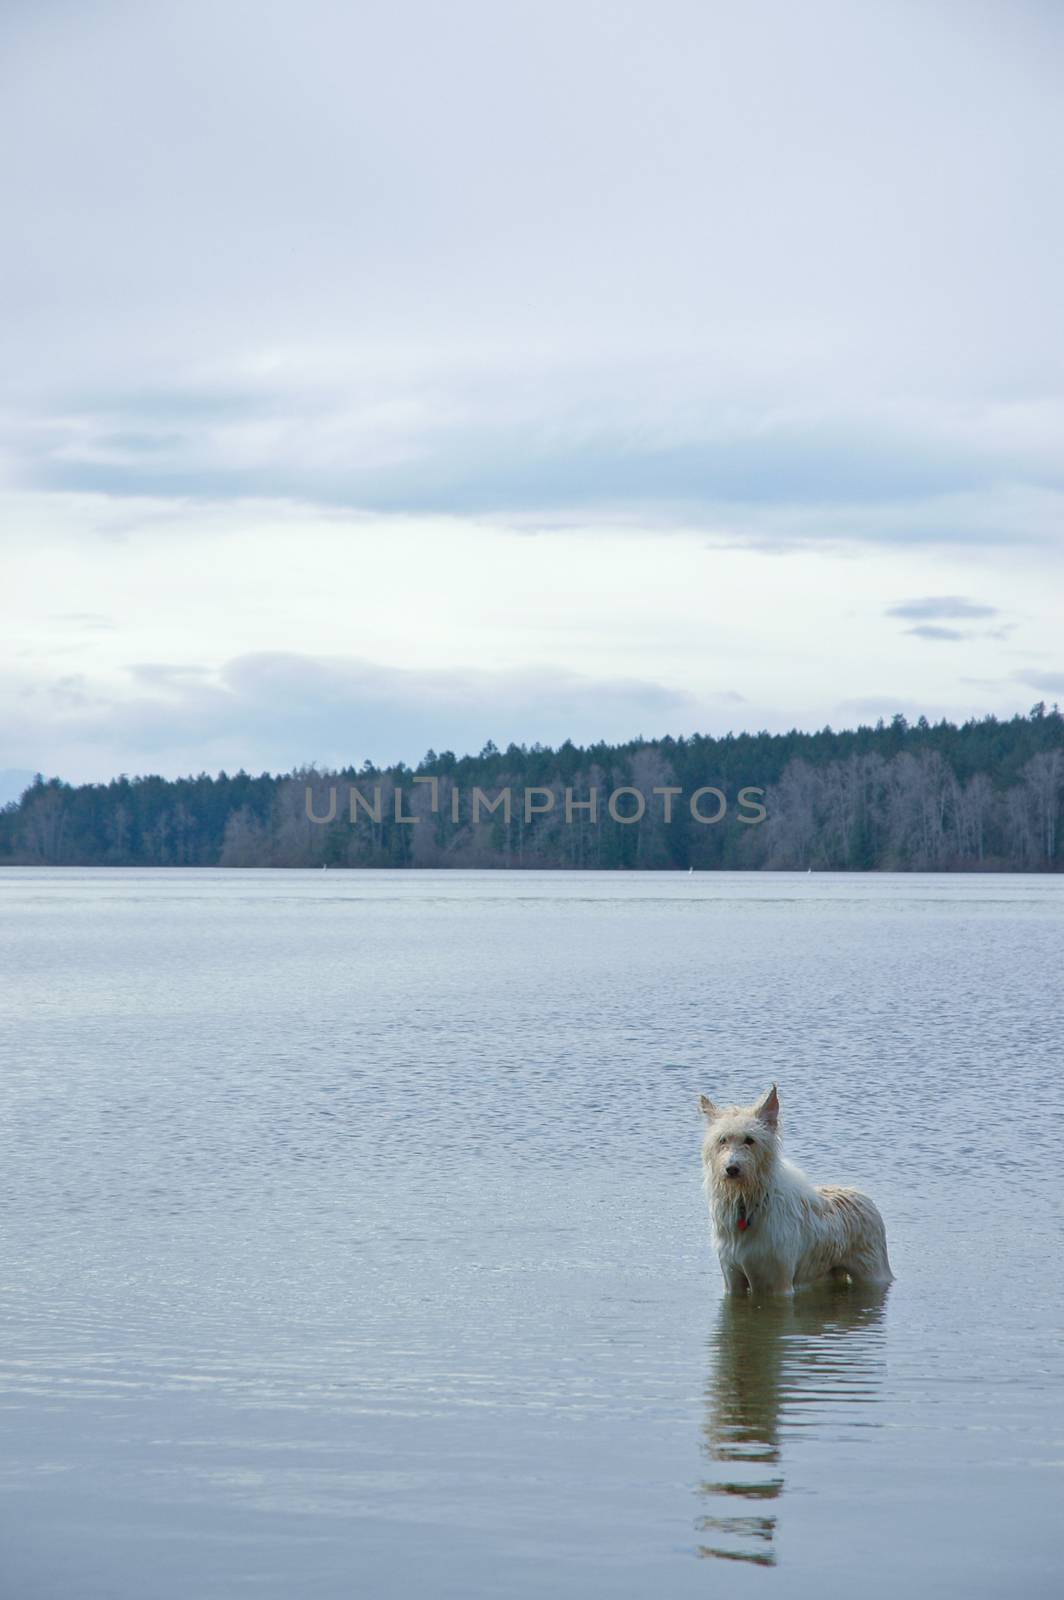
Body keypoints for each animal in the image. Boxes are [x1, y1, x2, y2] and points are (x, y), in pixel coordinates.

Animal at [700, 1081, 889, 1292]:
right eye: (722, 1140)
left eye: (750, 1139)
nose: (731, 1169)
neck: (747, 1203)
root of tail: (862, 1195)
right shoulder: (732, 1277)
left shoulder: (776, 1282)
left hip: (873, 1273)